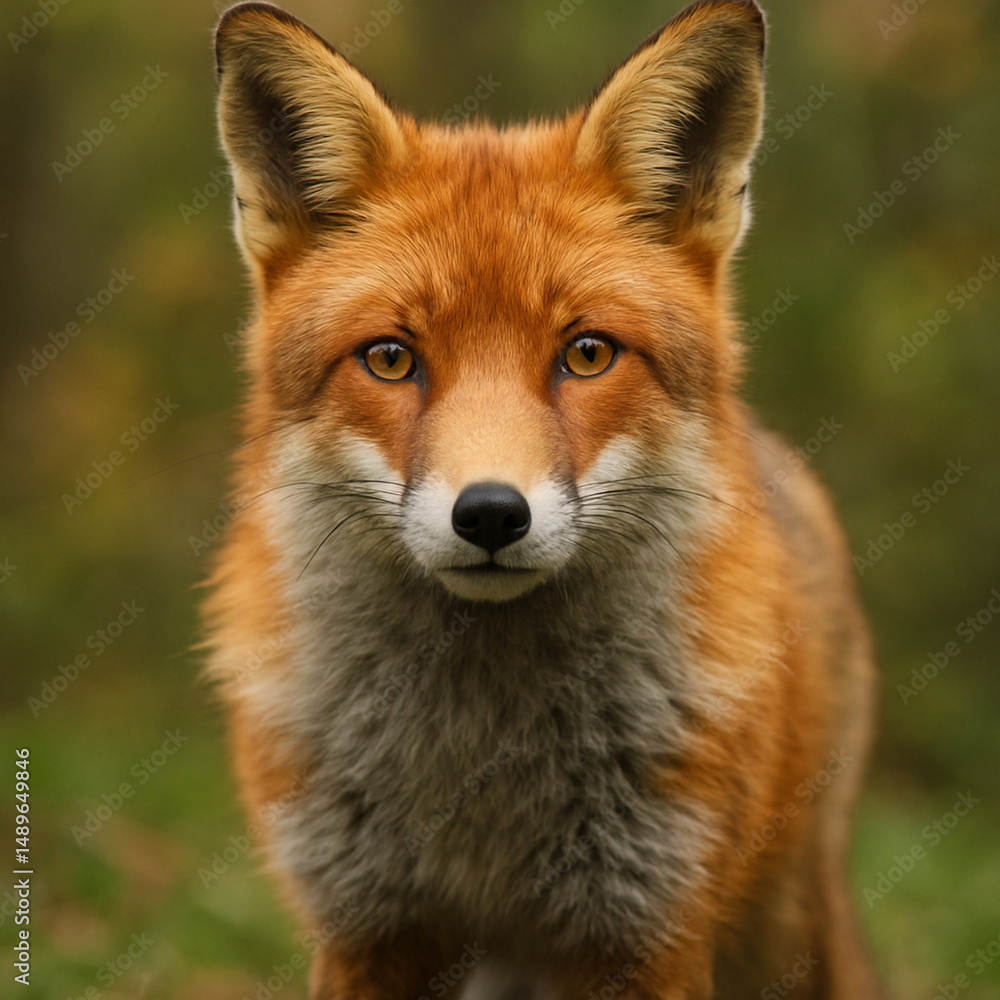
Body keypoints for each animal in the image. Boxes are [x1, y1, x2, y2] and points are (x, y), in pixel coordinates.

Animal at [204, 1, 885, 998]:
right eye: (390, 358)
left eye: (587, 354)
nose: (490, 514)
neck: (482, 768)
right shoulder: (369, 928)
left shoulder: (646, 929)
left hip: (783, 926)